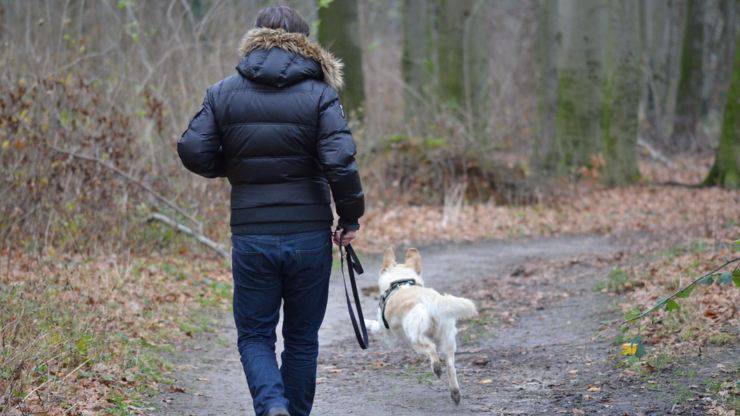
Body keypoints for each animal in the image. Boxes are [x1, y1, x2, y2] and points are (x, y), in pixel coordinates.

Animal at [366, 247, 480, 404]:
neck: (400, 282)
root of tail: (433, 302)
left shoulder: (387, 334)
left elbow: (374, 325)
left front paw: (365, 322)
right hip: (448, 341)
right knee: (450, 366)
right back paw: (455, 393)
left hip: (415, 339)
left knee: (431, 349)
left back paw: (437, 368)